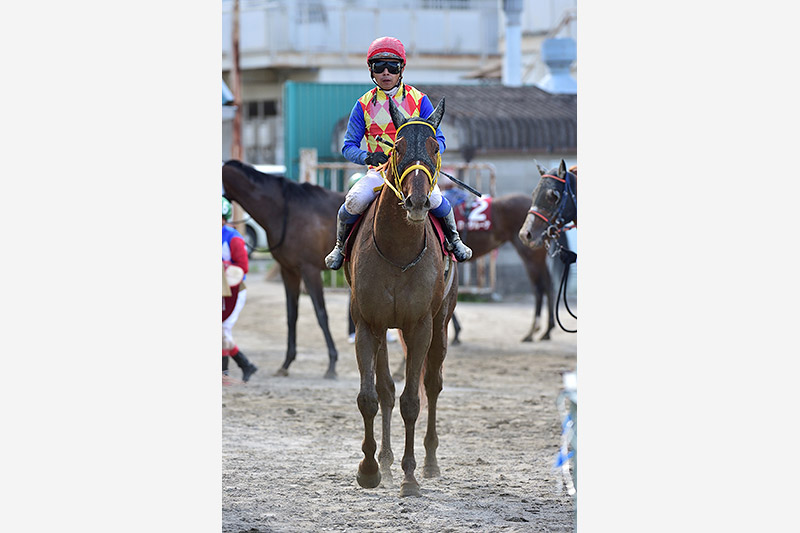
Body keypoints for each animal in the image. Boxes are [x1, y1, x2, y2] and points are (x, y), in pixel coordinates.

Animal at [222, 160, 344, 380]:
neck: (285, 212)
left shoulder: (310, 270)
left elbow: (321, 314)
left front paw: (331, 364)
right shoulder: (289, 271)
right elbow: (291, 315)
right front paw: (286, 364)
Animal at [344, 97, 456, 496]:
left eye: (436, 146)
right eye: (397, 148)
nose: (418, 202)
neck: (398, 249)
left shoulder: (419, 326)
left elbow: (412, 401)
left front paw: (410, 477)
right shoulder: (368, 323)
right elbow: (371, 396)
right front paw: (370, 469)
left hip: (442, 323)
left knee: (432, 385)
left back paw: (430, 462)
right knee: (386, 389)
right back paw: (387, 462)